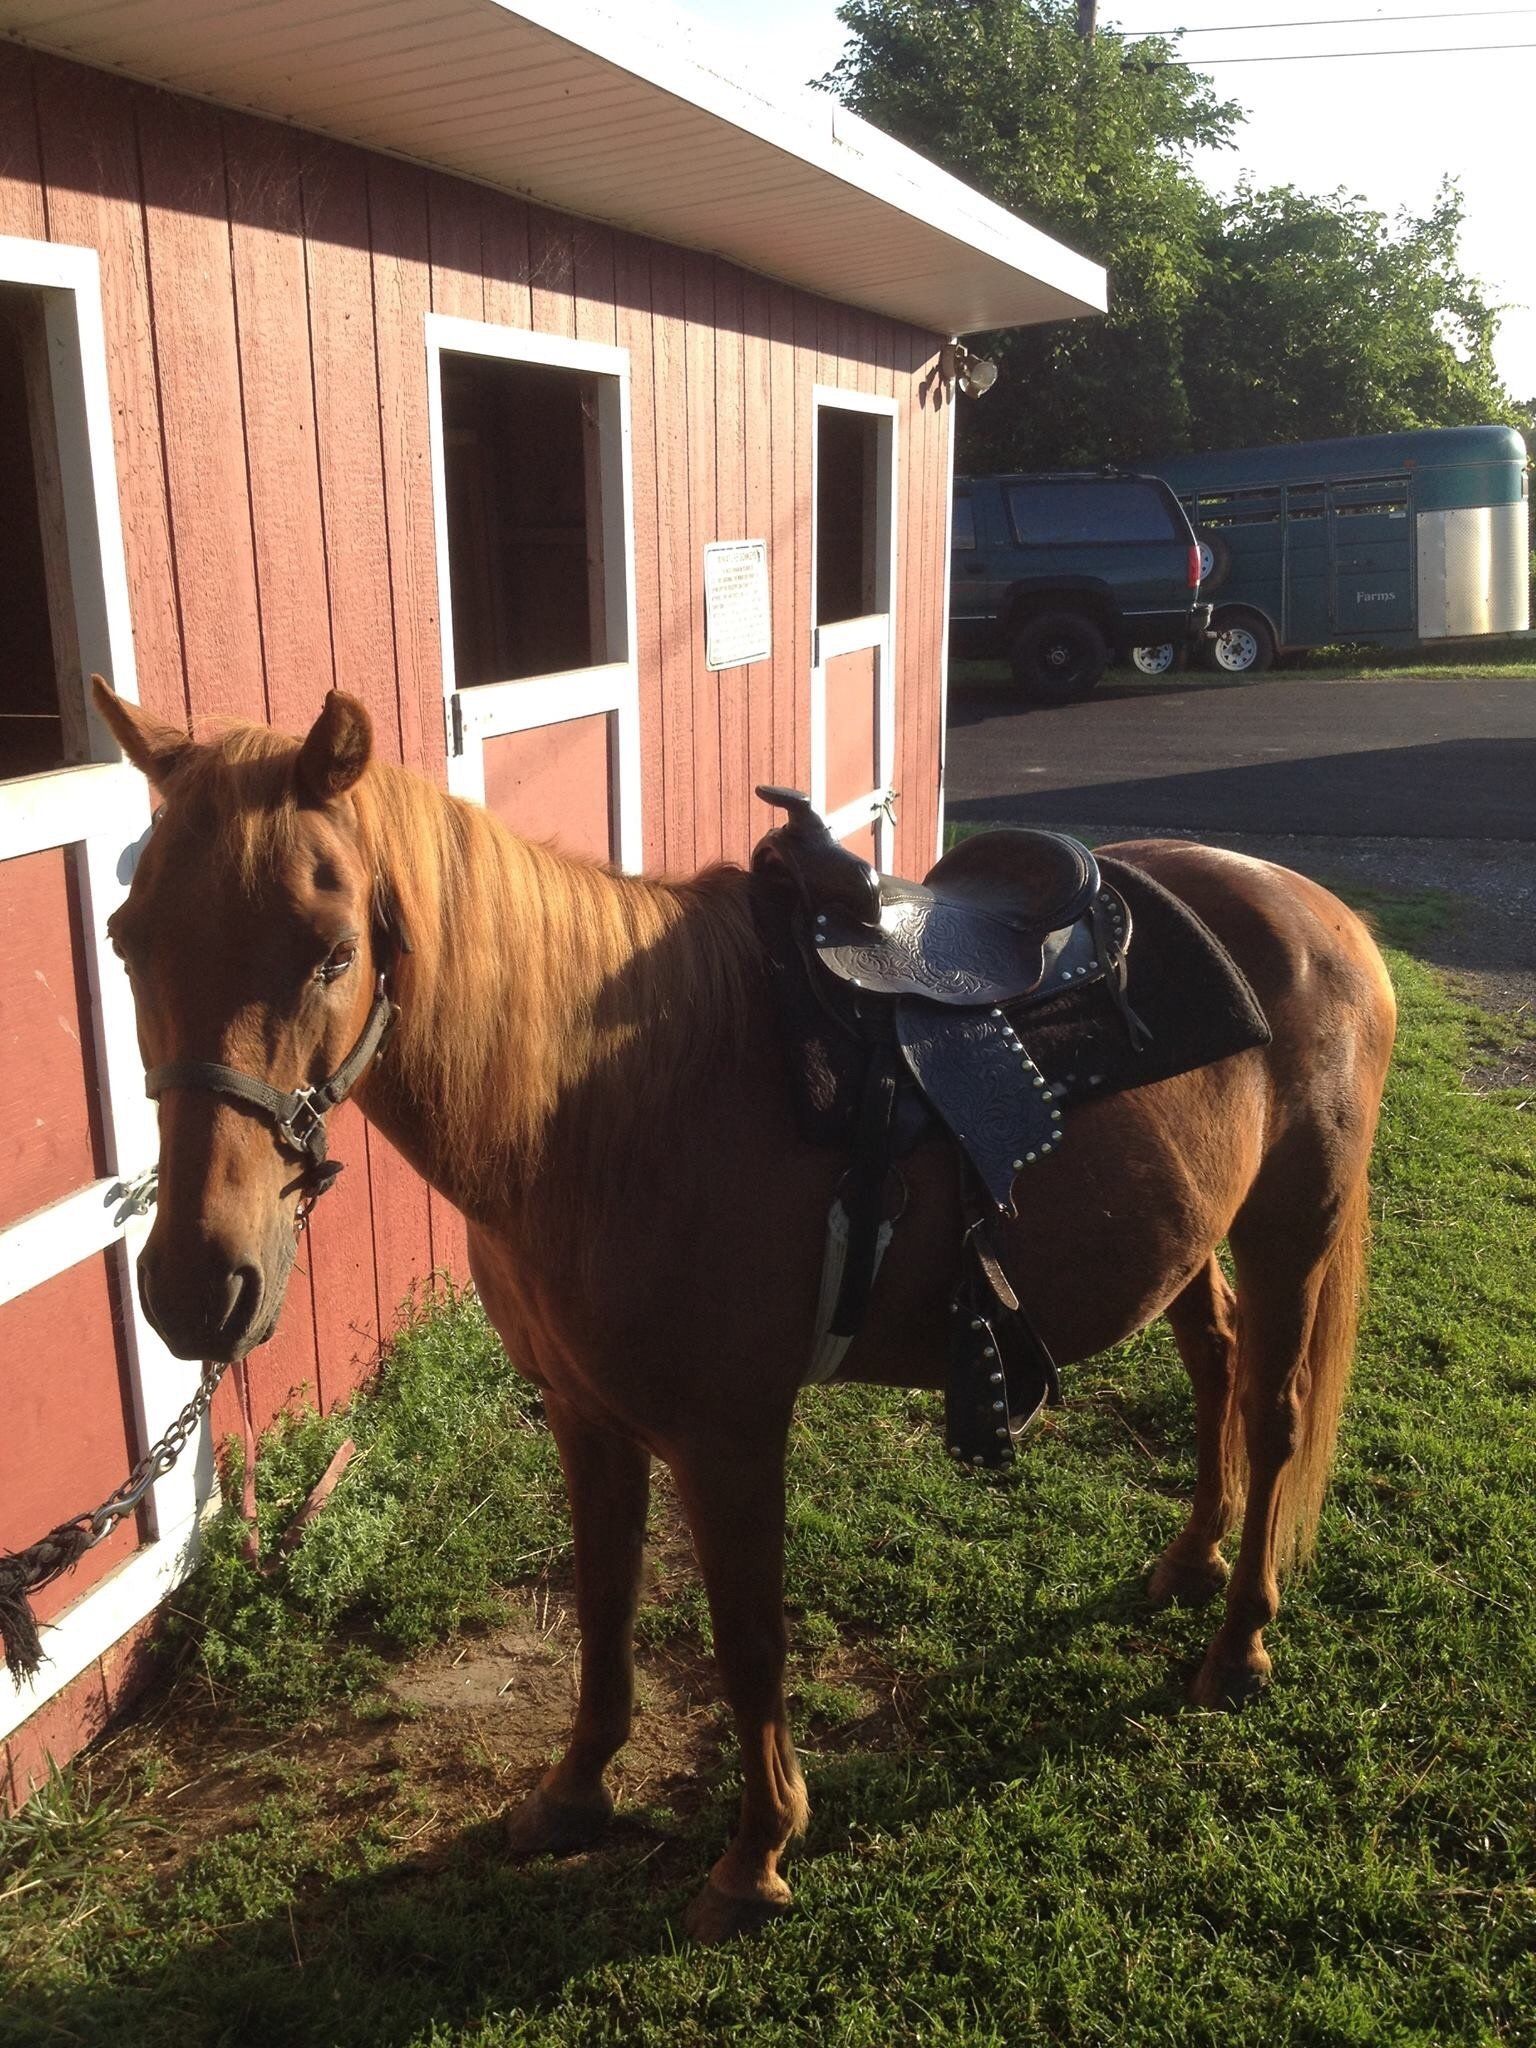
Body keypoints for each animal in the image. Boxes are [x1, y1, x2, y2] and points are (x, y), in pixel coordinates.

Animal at [91, 679, 1396, 1943]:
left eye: (331, 951)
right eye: (126, 940)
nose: (198, 1285)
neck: (601, 1106)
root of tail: (1312, 907)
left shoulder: (729, 1438)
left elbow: (749, 1638)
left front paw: (756, 1854)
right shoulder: (585, 1417)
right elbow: (603, 1608)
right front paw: (575, 1792)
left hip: (1292, 1230)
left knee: (1276, 1414)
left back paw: (1240, 1642)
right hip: (1192, 1241)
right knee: (1217, 1367)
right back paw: (1190, 1557)